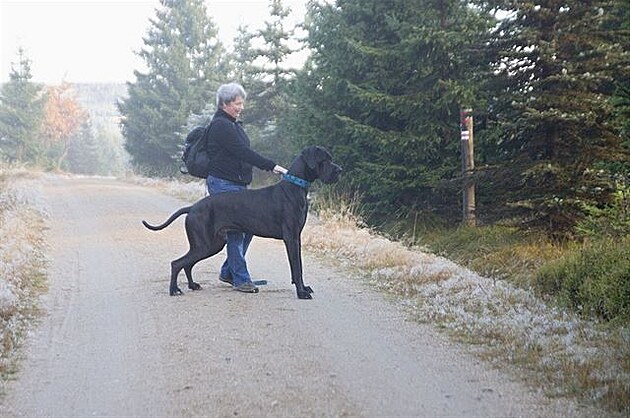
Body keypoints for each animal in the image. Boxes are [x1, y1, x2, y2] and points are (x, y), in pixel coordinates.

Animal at [143, 145, 344, 298]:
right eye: (324, 159)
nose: (340, 170)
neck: (295, 187)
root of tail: (192, 207)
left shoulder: (297, 238)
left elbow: (298, 267)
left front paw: (303, 287)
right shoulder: (291, 238)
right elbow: (297, 267)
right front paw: (302, 293)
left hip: (211, 244)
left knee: (187, 264)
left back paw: (192, 285)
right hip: (203, 244)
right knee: (177, 263)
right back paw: (173, 290)